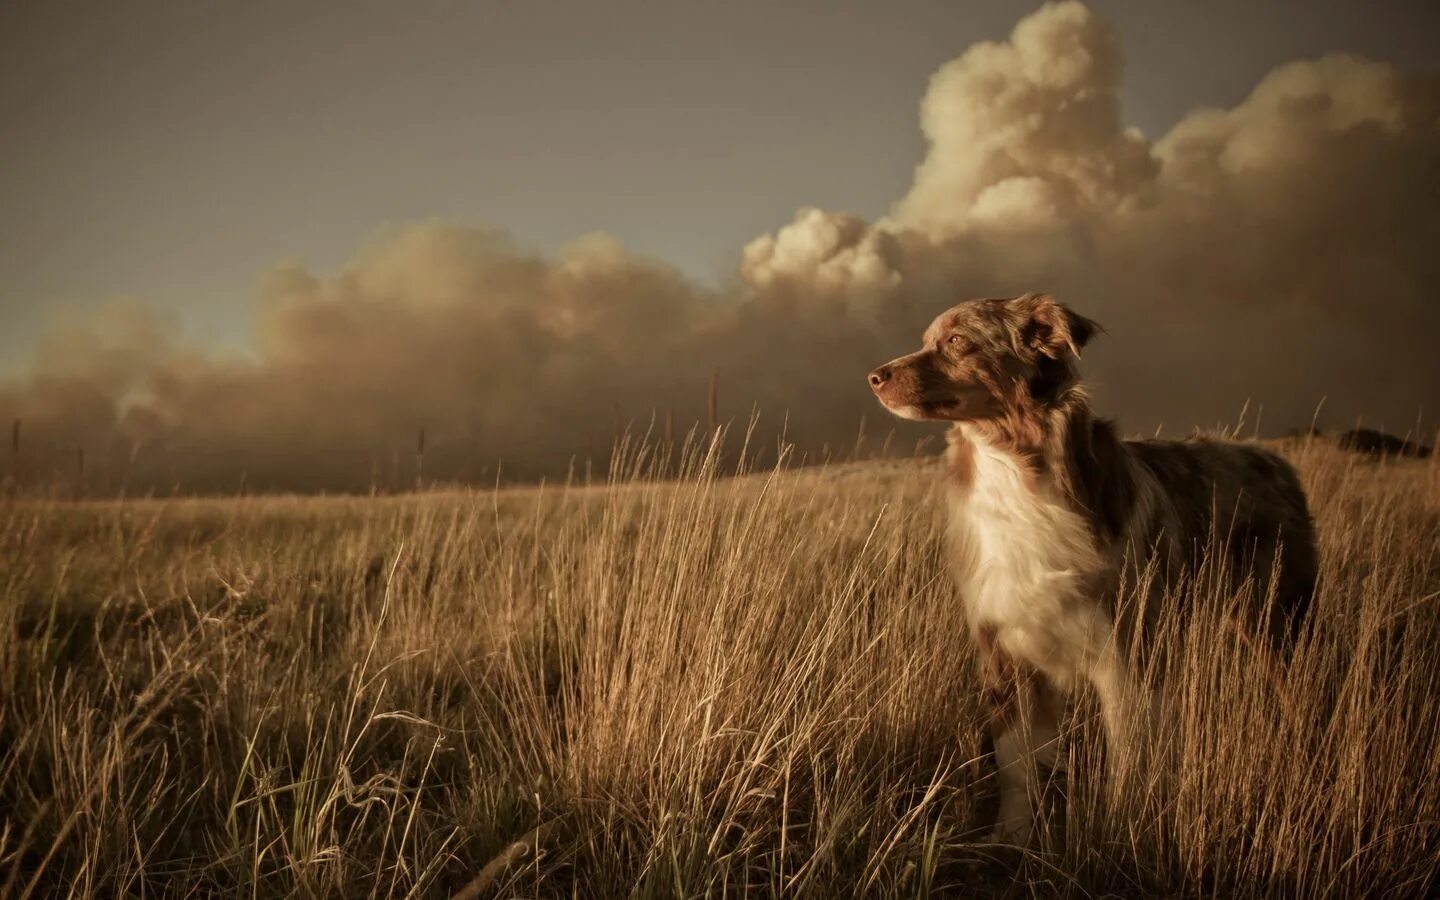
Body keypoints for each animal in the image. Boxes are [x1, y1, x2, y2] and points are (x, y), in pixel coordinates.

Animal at [864, 293, 1319, 840]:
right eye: (928, 339)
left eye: (956, 340)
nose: (874, 376)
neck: (1014, 469)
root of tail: (1274, 460)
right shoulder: (1004, 655)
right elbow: (1017, 768)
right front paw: (1009, 839)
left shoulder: (1124, 655)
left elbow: (1129, 759)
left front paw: (1119, 830)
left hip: (1278, 625)